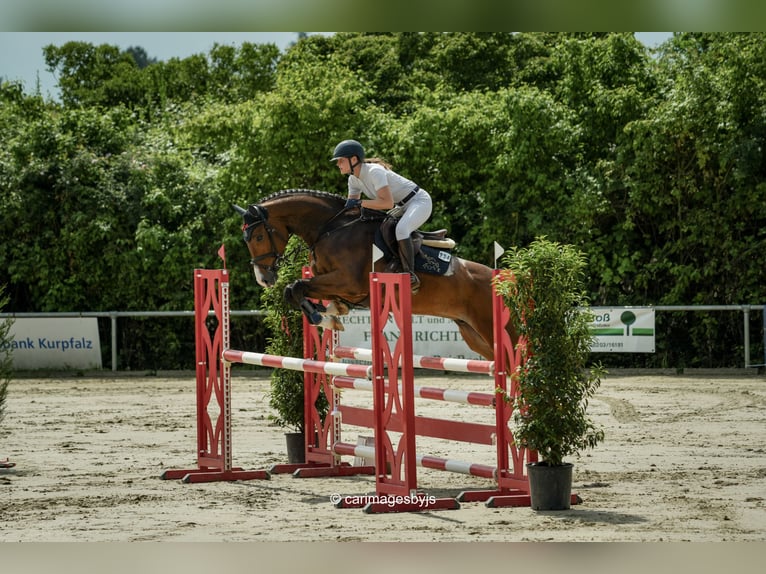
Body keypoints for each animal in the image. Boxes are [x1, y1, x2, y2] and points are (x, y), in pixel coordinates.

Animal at [231, 190, 512, 360]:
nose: (263, 279)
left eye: (258, 237)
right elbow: (296, 290)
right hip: (473, 335)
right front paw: (332, 313)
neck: (329, 229)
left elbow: (296, 286)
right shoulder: (331, 282)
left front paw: (323, 319)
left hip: (492, 328)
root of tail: (503, 281)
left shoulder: (348, 282)